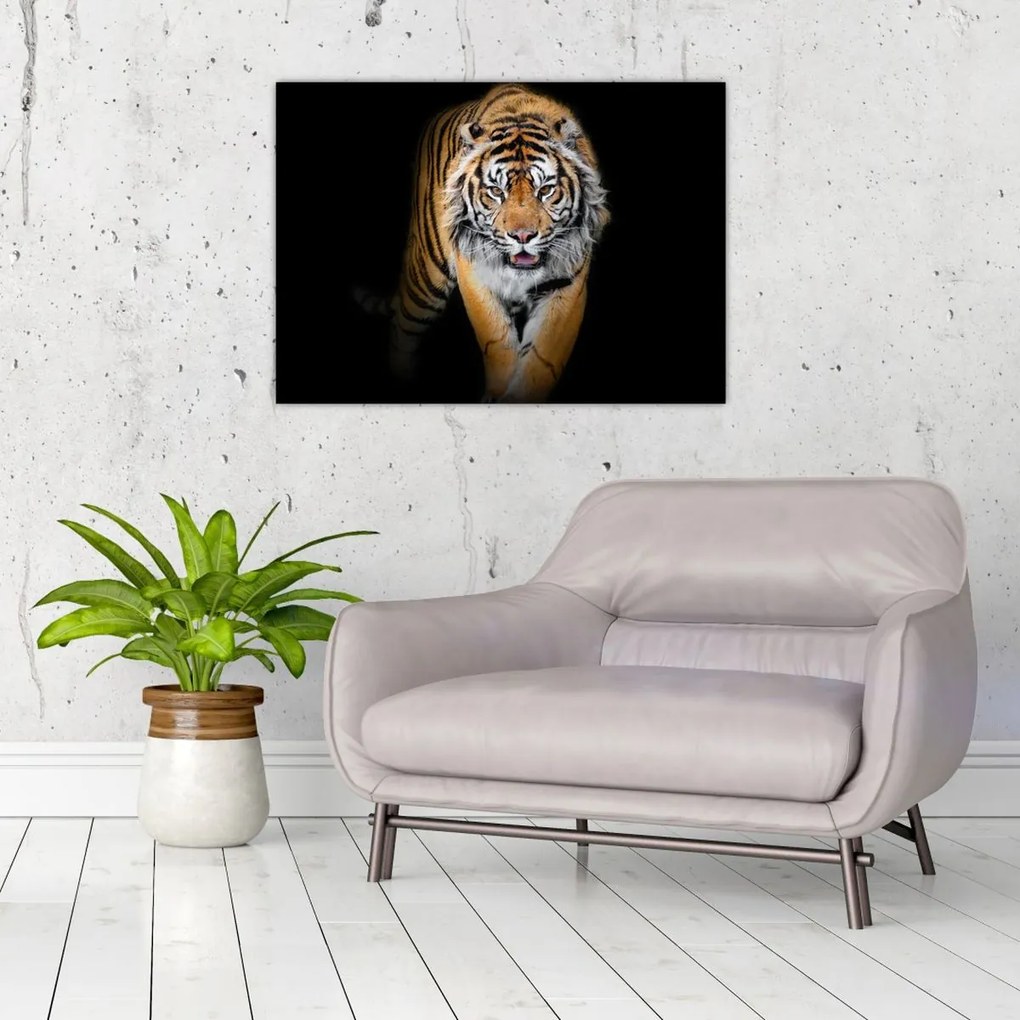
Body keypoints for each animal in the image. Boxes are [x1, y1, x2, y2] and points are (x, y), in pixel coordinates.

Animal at [387, 84, 610, 402]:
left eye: (546, 190)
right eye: (495, 191)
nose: (523, 236)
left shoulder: (567, 284)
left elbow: (543, 357)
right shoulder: (475, 274)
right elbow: (498, 340)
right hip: (426, 278)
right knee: (402, 325)